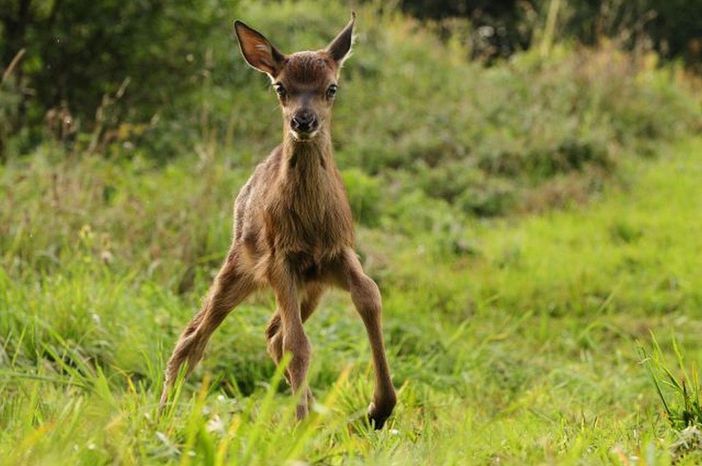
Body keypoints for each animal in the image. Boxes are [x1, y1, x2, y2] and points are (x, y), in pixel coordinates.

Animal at [162, 13, 398, 430]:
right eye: (280, 87)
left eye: (331, 87)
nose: (303, 121)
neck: (310, 224)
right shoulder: (279, 260)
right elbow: (297, 344)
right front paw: (301, 424)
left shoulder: (338, 251)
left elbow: (370, 296)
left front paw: (379, 408)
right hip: (239, 264)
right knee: (196, 335)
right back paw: (159, 414)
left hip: (311, 288)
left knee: (270, 332)